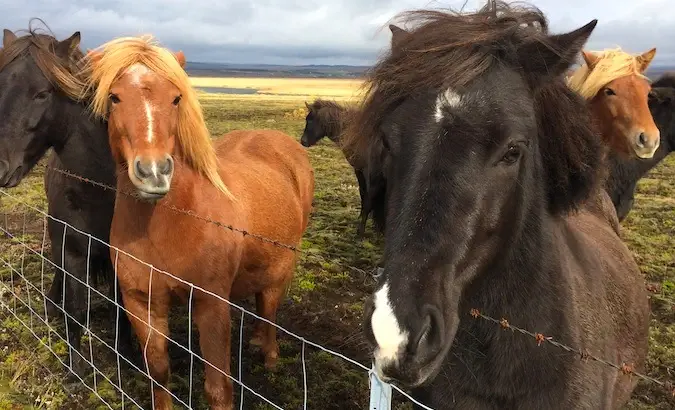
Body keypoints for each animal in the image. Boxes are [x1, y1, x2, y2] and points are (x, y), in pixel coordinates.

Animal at [0, 25, 137, 376]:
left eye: (42, 94)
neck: (100, 189)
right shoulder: (72, 248)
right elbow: (76, 310)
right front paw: (75, 370)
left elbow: (121, 308)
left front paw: (126, 358)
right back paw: (52, 302)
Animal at [83, 36, 316, 408]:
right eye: (115, 97)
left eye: (176, 97)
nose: (153, 172)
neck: (170, 223)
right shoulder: (141, 301)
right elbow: (159, 372)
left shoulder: (211, 305)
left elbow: (218, 389)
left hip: (282, 267)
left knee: (269, 305)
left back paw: (269, 353)